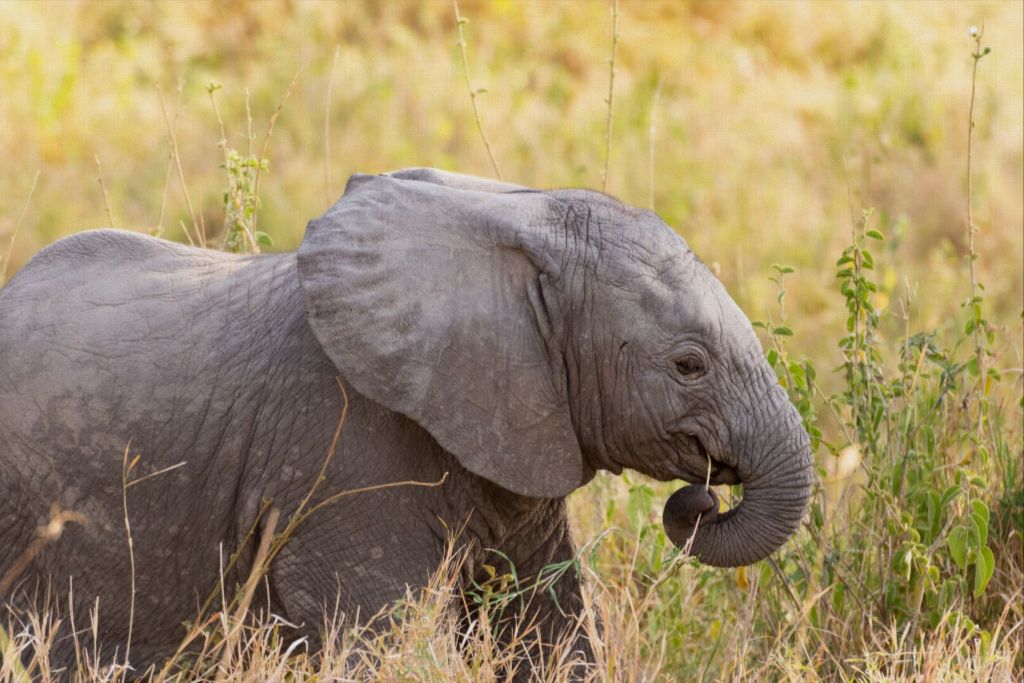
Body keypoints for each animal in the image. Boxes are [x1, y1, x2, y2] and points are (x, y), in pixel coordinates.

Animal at [2, 167, 815, 675]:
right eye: (688, 365)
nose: (699, 496)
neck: (518, 226)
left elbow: (545, 633)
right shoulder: (342, 450)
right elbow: (377, 637)